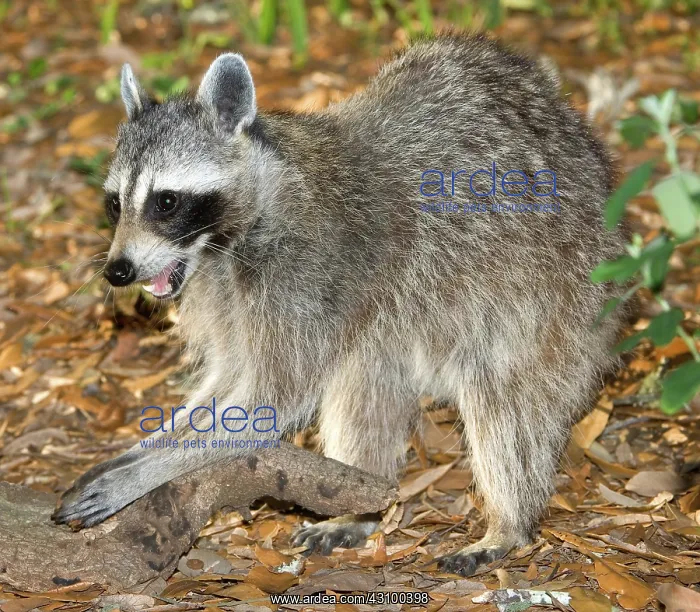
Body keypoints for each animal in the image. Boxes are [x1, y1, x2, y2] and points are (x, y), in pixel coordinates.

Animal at [53, 33, 626, 576]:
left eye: (166, 202)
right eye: (114, 205)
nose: (117, 270)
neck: (230, 235)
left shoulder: (308, 270)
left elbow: (269, 400)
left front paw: (143, 473)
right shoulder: (224, 290)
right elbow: (227, 379)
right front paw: (139, 450)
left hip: (552, 286)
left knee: (505, 401)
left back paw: (509, 521)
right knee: (364, 385)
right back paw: (360, 507)